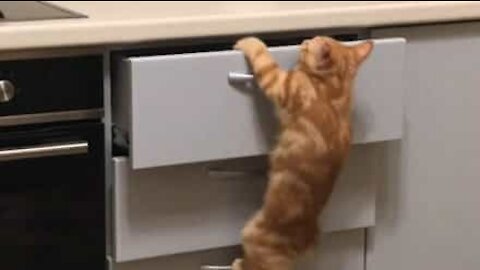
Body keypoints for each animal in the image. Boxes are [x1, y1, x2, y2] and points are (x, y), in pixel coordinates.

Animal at [231, 37, 374, 270]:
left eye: (310, 44)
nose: (305, 40)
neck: (334, 89)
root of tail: (306, 238)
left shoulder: (282, 83)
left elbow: (262, 56)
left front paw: (250, 41)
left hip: (252, 235)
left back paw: (237, 263)